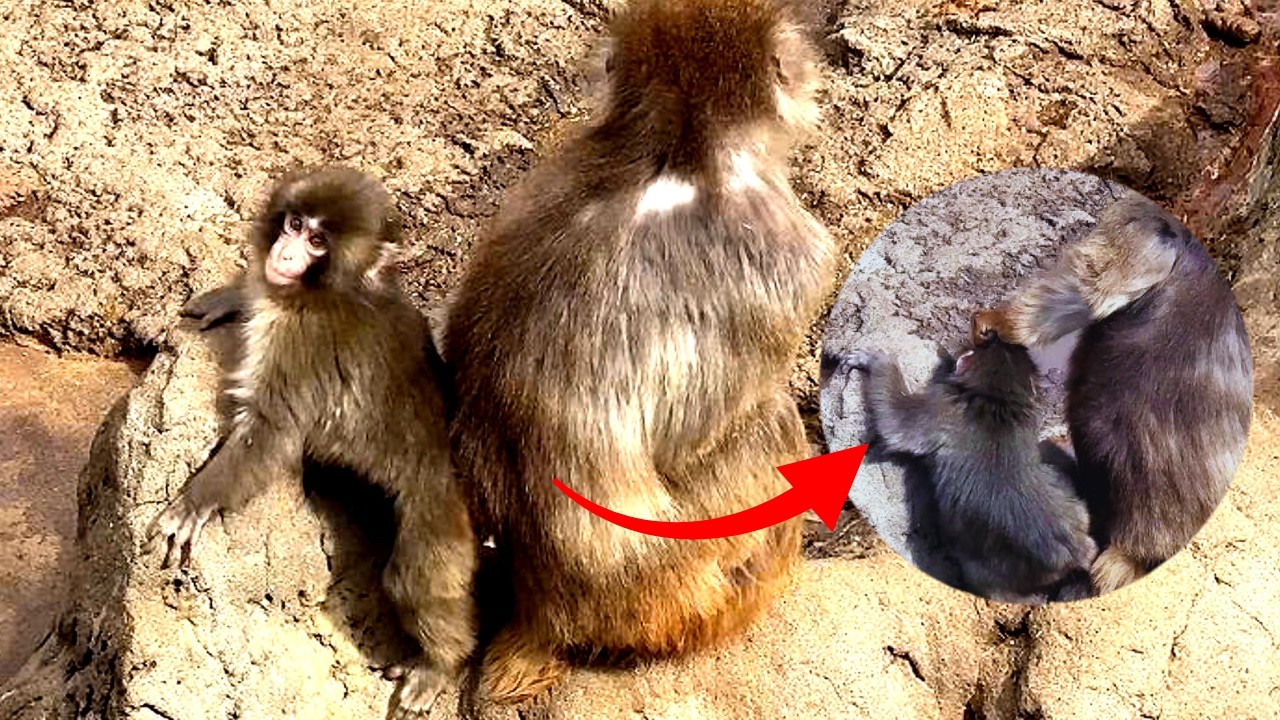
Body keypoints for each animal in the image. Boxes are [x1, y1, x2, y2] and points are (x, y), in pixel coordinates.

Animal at [149, 167, 476, 718]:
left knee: (414, 580)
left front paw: (194, 502)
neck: (333, 291)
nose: (284, 254)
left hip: (439, 514)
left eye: (318, 243)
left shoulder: (301, 342)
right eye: (296, 223)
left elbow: (269, 432)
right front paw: (237, 293)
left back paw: (441, 664)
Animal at [442, 0, 835, 702]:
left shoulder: (547, 171)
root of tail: (542, 614)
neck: (676, 149)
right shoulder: (795, 249)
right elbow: (693, 438)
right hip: (686, 593)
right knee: (767, 423)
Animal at [845, 331, 1098, 602]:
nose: (992, 333)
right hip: (1076, 508)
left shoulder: (943, 405)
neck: (995, 398)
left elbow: (895, 423)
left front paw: (875, 361)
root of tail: (1075, 550)